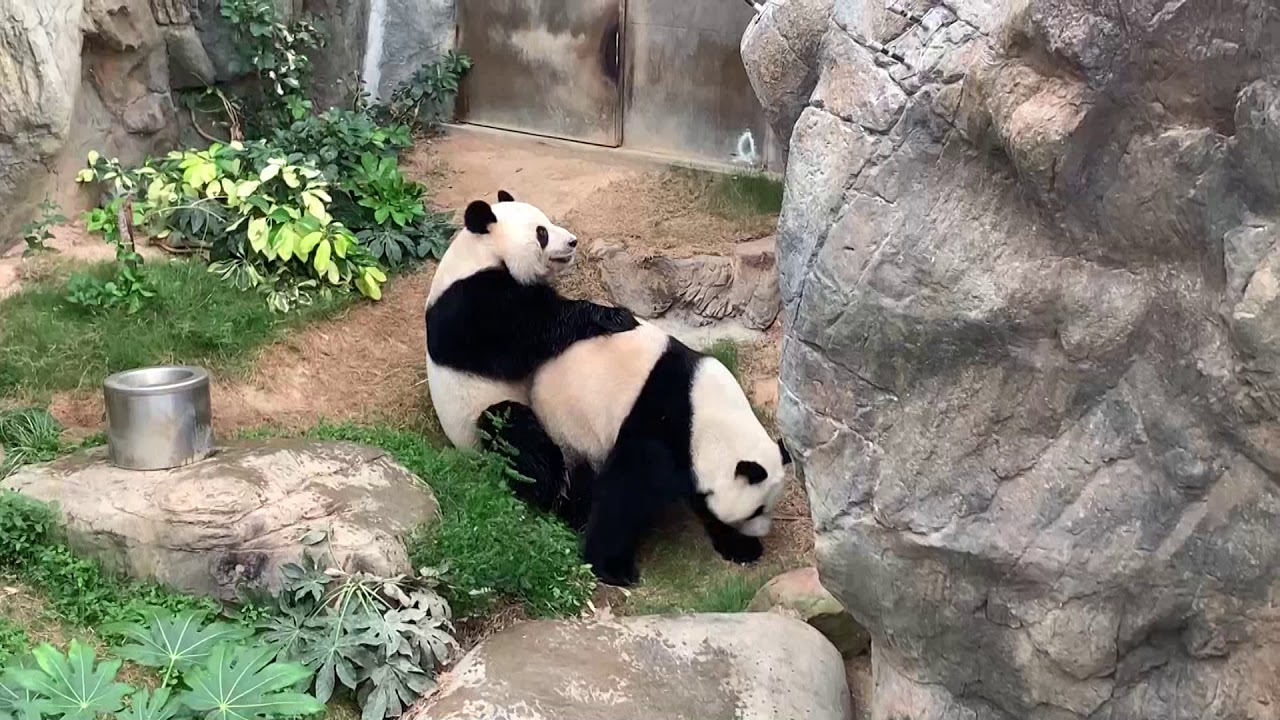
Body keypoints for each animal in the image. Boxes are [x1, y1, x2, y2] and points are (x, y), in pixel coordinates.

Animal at [425, 190, 637, 515]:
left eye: (548, 222)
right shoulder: (469, 305)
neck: (482, 252)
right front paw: (613, 316)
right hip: (478, 420)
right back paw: (557, 489)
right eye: (542, 233)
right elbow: (522, 339)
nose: (572, 242)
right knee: (515, 434)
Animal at [528, 320, 792, 586]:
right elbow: (627, 485)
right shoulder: (660, 424)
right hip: (569, 425)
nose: (762, 531)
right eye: (757, 510)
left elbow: (702, 500)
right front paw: (613, 568)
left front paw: (742, 546)